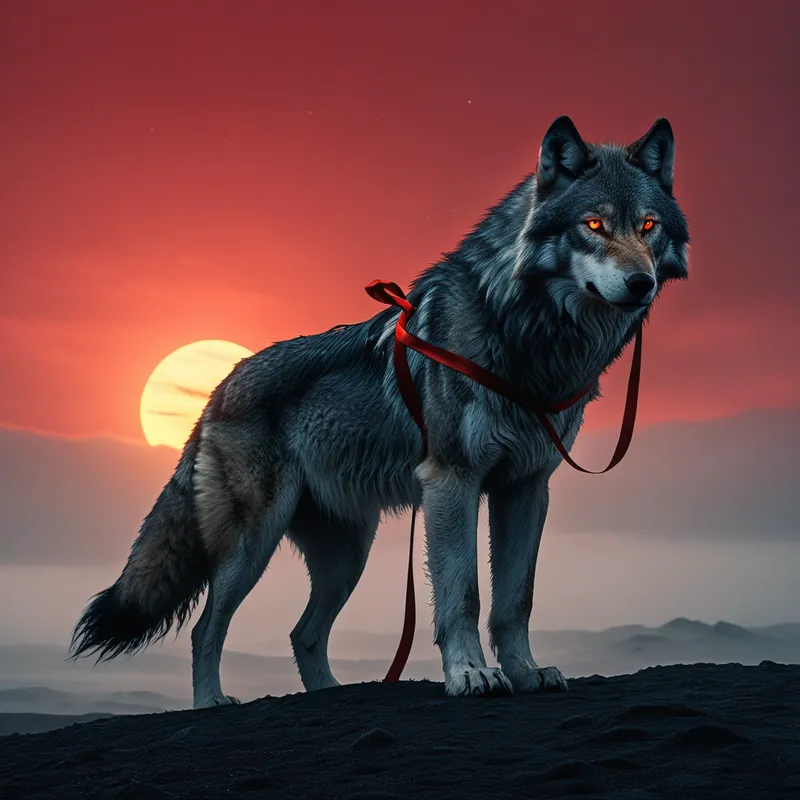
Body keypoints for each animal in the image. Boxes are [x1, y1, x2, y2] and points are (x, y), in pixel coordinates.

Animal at [70, 116, 689, 707]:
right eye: (593, 225)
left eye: (648, 227)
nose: (640, 283)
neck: (526, 334)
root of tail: (218, 389)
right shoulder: (452, 481)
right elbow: (464, 595)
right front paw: (470, 676)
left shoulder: (526, 487)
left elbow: (516, 600)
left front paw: (525, 673)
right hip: (254, 544)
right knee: (207, 629)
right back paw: (211, 703)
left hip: (348, 555)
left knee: (303, 634)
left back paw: (327, 694)